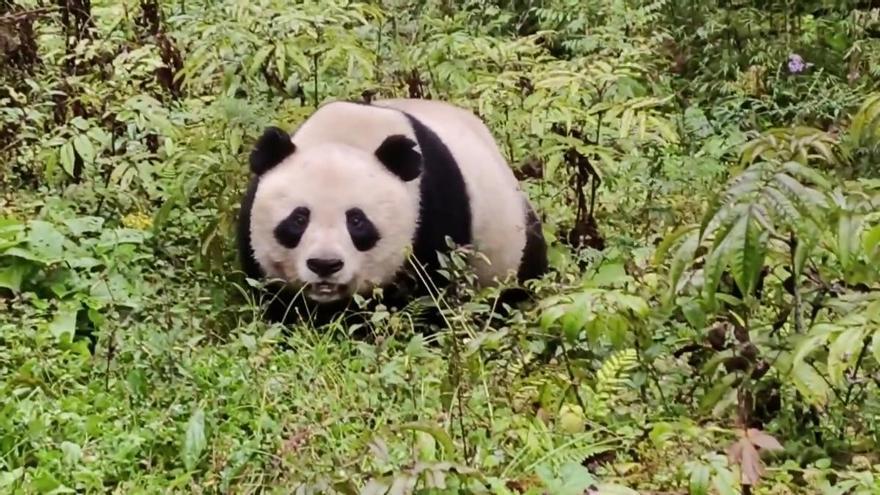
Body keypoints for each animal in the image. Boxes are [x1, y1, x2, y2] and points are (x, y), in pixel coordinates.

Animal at [236, 98, 548, 327]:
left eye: (357, 221)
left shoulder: (433, 210)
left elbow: (430, 292)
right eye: (299, 219)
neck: (348, 135)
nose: (325, 265)